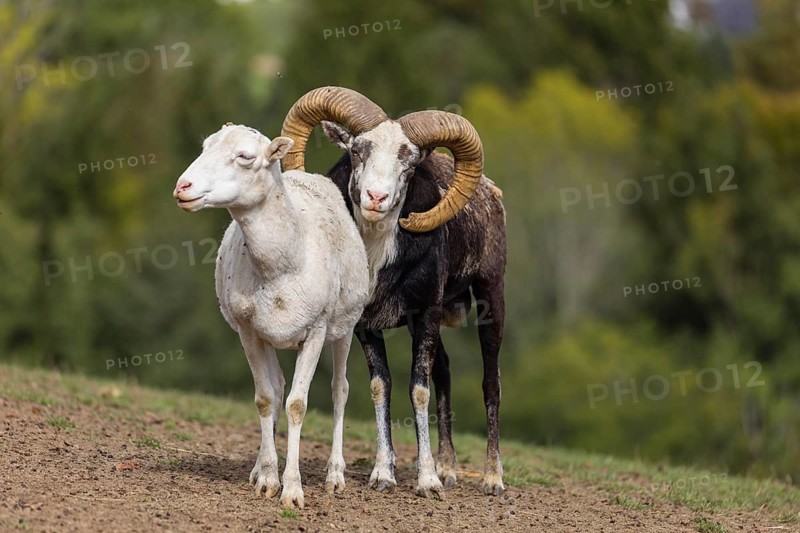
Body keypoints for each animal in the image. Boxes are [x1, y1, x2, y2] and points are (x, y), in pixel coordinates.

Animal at [172, 122, 369, 509]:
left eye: (245, 156)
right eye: (206, 147)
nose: (183, 188)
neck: (282, 267)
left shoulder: (316, 332)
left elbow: (297, 405)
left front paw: (292, 491)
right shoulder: (249, 332)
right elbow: (266, 399)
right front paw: (267, 481)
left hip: (344, 332)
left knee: (340, 390)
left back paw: (335, 476)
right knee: (277, 387)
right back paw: (261, 469)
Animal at [280, 87, 507, 498]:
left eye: (410, 163)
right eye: (358, 150)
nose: (375, 197)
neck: (374, 260)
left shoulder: (427, 312)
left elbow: (418, 390)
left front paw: (428, 483)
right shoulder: (366, 325)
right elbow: (380, 387)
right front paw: (384, 475)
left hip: (490, 299)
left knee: (490, 382)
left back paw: (492, 479)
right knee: (444, 370)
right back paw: (448, 468)